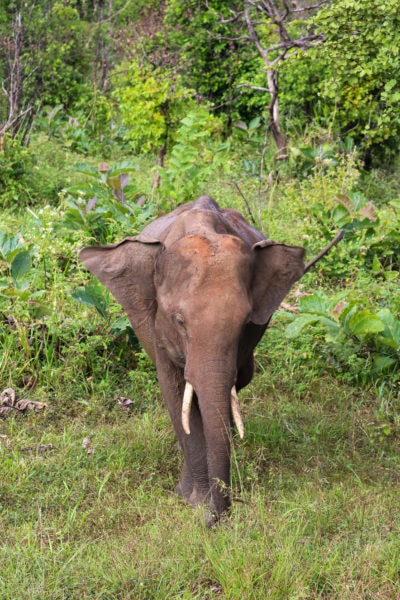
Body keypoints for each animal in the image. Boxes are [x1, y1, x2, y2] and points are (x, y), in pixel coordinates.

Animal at [79, 195, 342, 524]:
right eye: (179, 321)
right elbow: (175, 395)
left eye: (245, 323)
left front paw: (199, 503)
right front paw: (192, 501)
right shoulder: (157, 330)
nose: (215, 518)